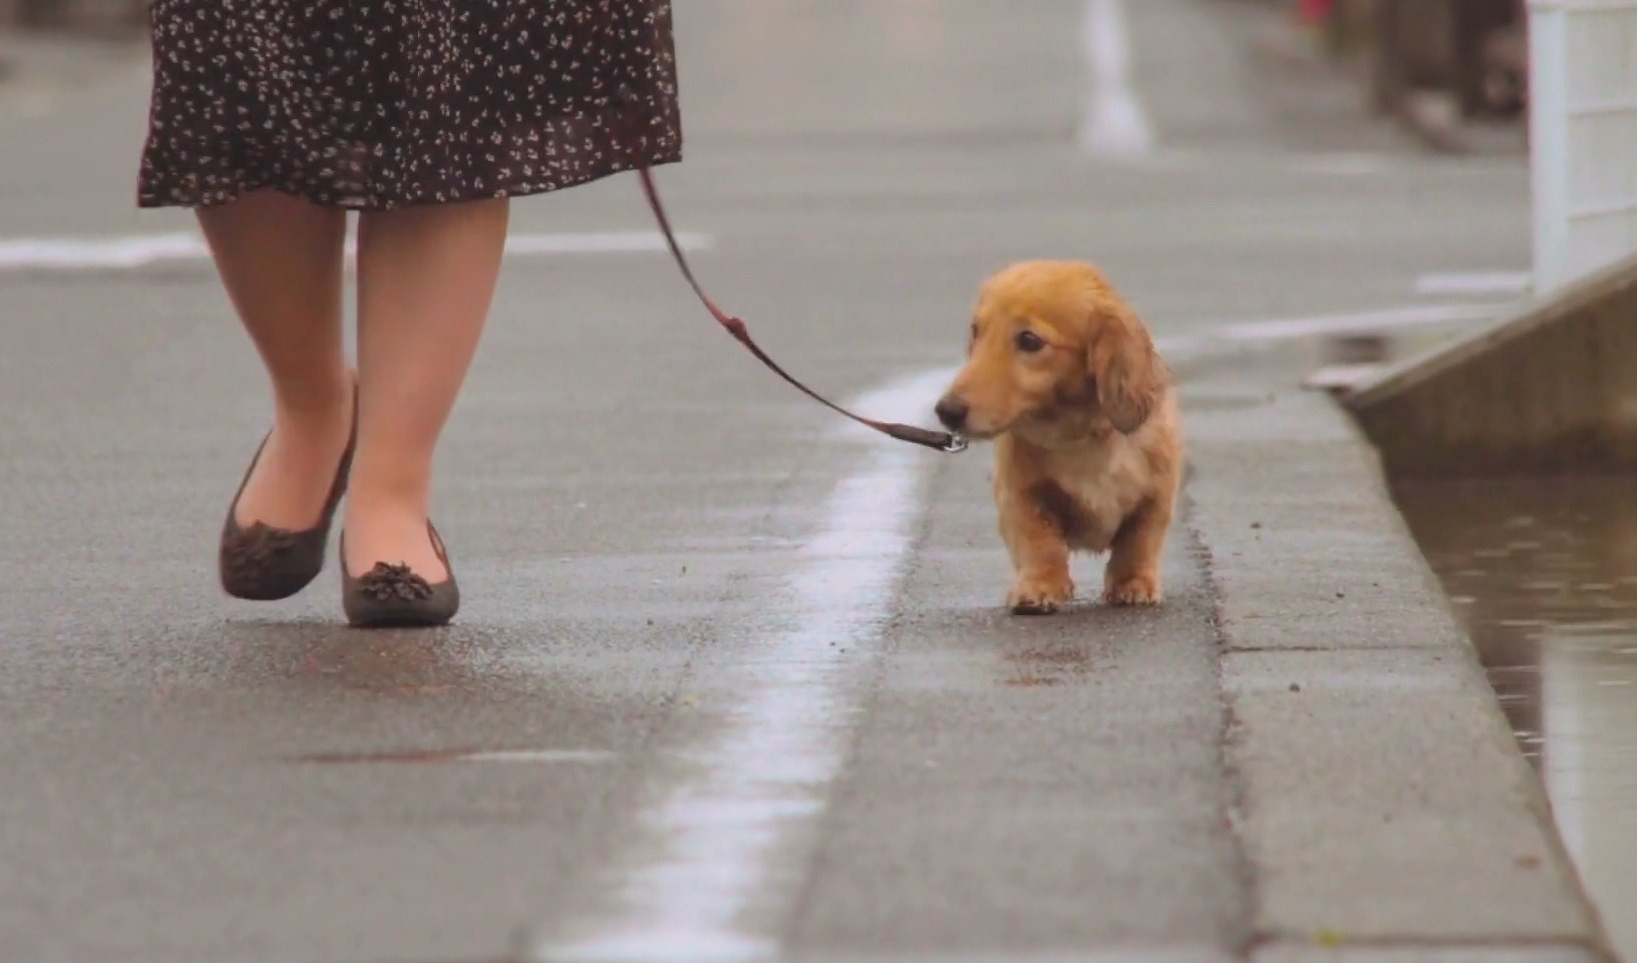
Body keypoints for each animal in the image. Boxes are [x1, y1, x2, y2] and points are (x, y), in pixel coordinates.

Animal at [929, 258, 1185, 612]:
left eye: (1029, 340)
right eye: (976, 330)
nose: (947, 411)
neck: (1079, 439)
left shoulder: (1156, 495)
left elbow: (1138, 543)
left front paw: (1133, 584)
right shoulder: (1022, 495)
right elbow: (1039, 543)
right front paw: (1040, 586)